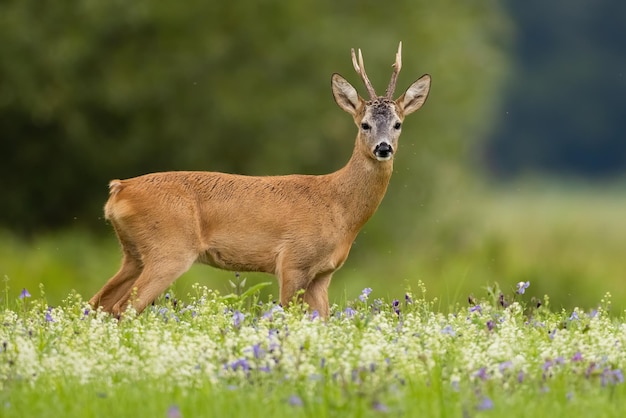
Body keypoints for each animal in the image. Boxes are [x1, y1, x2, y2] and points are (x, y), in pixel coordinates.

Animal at [89, 41, 428, 316]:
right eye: (364, 124)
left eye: (397, 124)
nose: (383, 148)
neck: (339, 207)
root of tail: (120, 189)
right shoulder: (293, 261)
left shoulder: (324, 273)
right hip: (169, 248)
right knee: (122, 308)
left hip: (133, 253)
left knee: (98, 303)